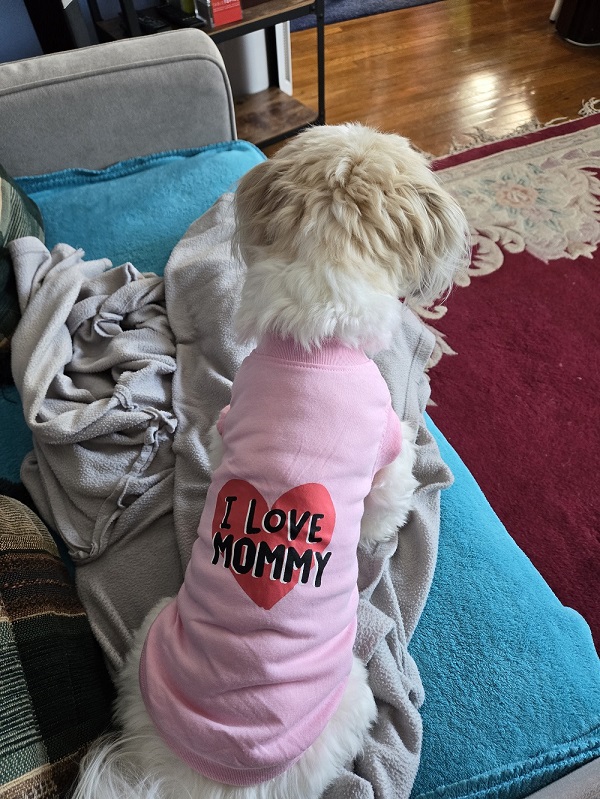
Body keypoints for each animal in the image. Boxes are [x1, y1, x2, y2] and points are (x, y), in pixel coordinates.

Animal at [74, 122, 468, 799]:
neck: (316, 338)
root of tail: (202, 782)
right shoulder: (386, 447)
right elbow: (386, 502)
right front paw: (383, 530)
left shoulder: (231, 419)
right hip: (353, 694)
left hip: (149, 641)